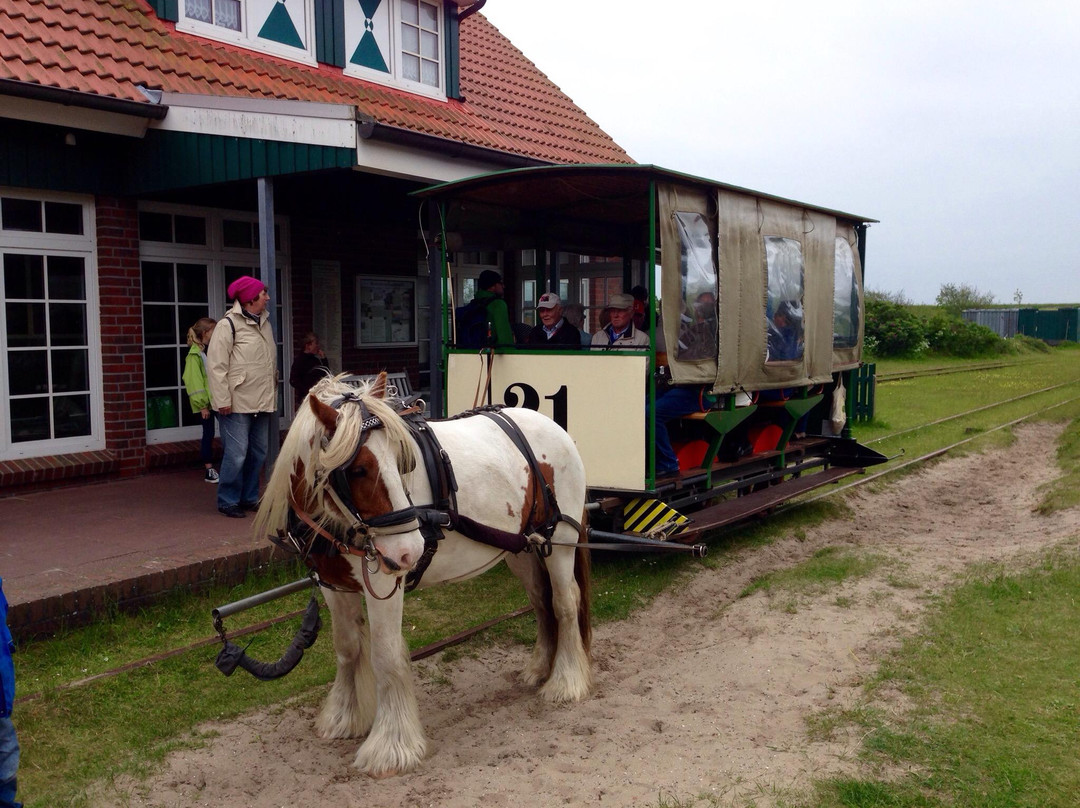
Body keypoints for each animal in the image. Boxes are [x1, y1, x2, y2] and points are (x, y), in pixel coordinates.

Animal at [252, 371, 591, 777]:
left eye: (402, 461)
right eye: (357, 469)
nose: (410, 551)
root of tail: (555, 428)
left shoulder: (384, 580)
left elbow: (385, 656)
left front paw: (390, 746)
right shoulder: (335, 585)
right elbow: (347, 648)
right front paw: (343, 717)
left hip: (561, 539)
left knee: (564, 602)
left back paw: (566, 681)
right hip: (522, 547)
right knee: (541, 601)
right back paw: (540, 667)